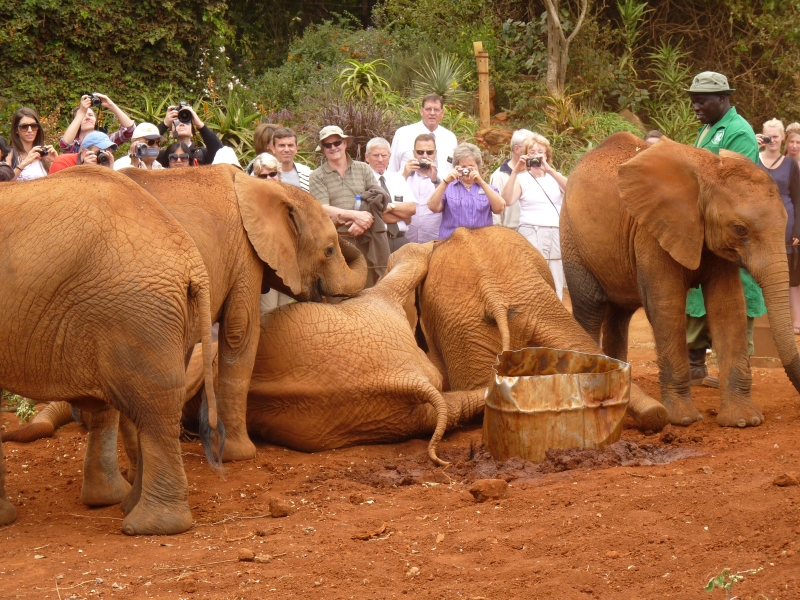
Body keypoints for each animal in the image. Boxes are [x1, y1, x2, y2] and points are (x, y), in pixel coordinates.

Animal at [560, 132, 800, 427]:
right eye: (739, 229)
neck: (708, 172)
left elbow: (728, 306)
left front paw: (744, 421)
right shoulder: (651, 232)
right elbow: (667, 305)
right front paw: (684, 420)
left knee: (619, 316)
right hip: (572, 235)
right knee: (590, 306)